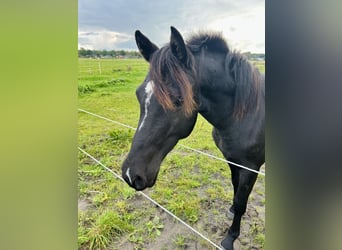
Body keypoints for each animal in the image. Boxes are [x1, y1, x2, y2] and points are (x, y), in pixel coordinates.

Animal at [121, 26, 266, 249]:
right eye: (139, 94)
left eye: (178, 100)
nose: (131, 174)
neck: (247, 114)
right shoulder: (232, 160)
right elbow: (235, 191)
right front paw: (232, 210)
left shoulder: (251, 168)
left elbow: (242, 202)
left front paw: (230, 238)